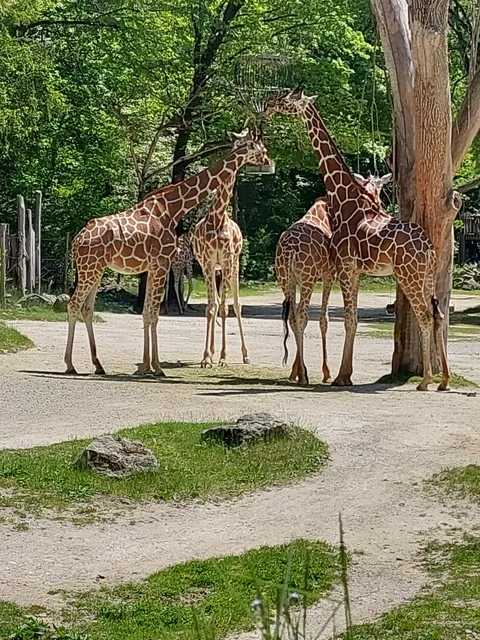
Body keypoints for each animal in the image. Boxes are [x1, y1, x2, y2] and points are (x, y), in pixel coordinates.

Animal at [191, 157, 249, 368]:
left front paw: (224, 357)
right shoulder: (208, 263)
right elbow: (211, 307)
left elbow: (224, 308)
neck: (218, 219)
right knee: (215, 304)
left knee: (236, 304)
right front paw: (207, 357)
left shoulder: (226, 261)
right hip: (213, 269)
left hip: (233, 266)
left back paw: (245, 355)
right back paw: (212, 352)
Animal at [277, 173, 389, 386]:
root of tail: (289, 250)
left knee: (293, 317)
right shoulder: (330, 275)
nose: (380, 208)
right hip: (307, 279)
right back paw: (304, 375)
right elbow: (325, 319)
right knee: (302, 316)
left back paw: (299, 372)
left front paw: (295, 371)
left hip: (285, 280)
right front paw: (327, 372)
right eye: (377, 191)